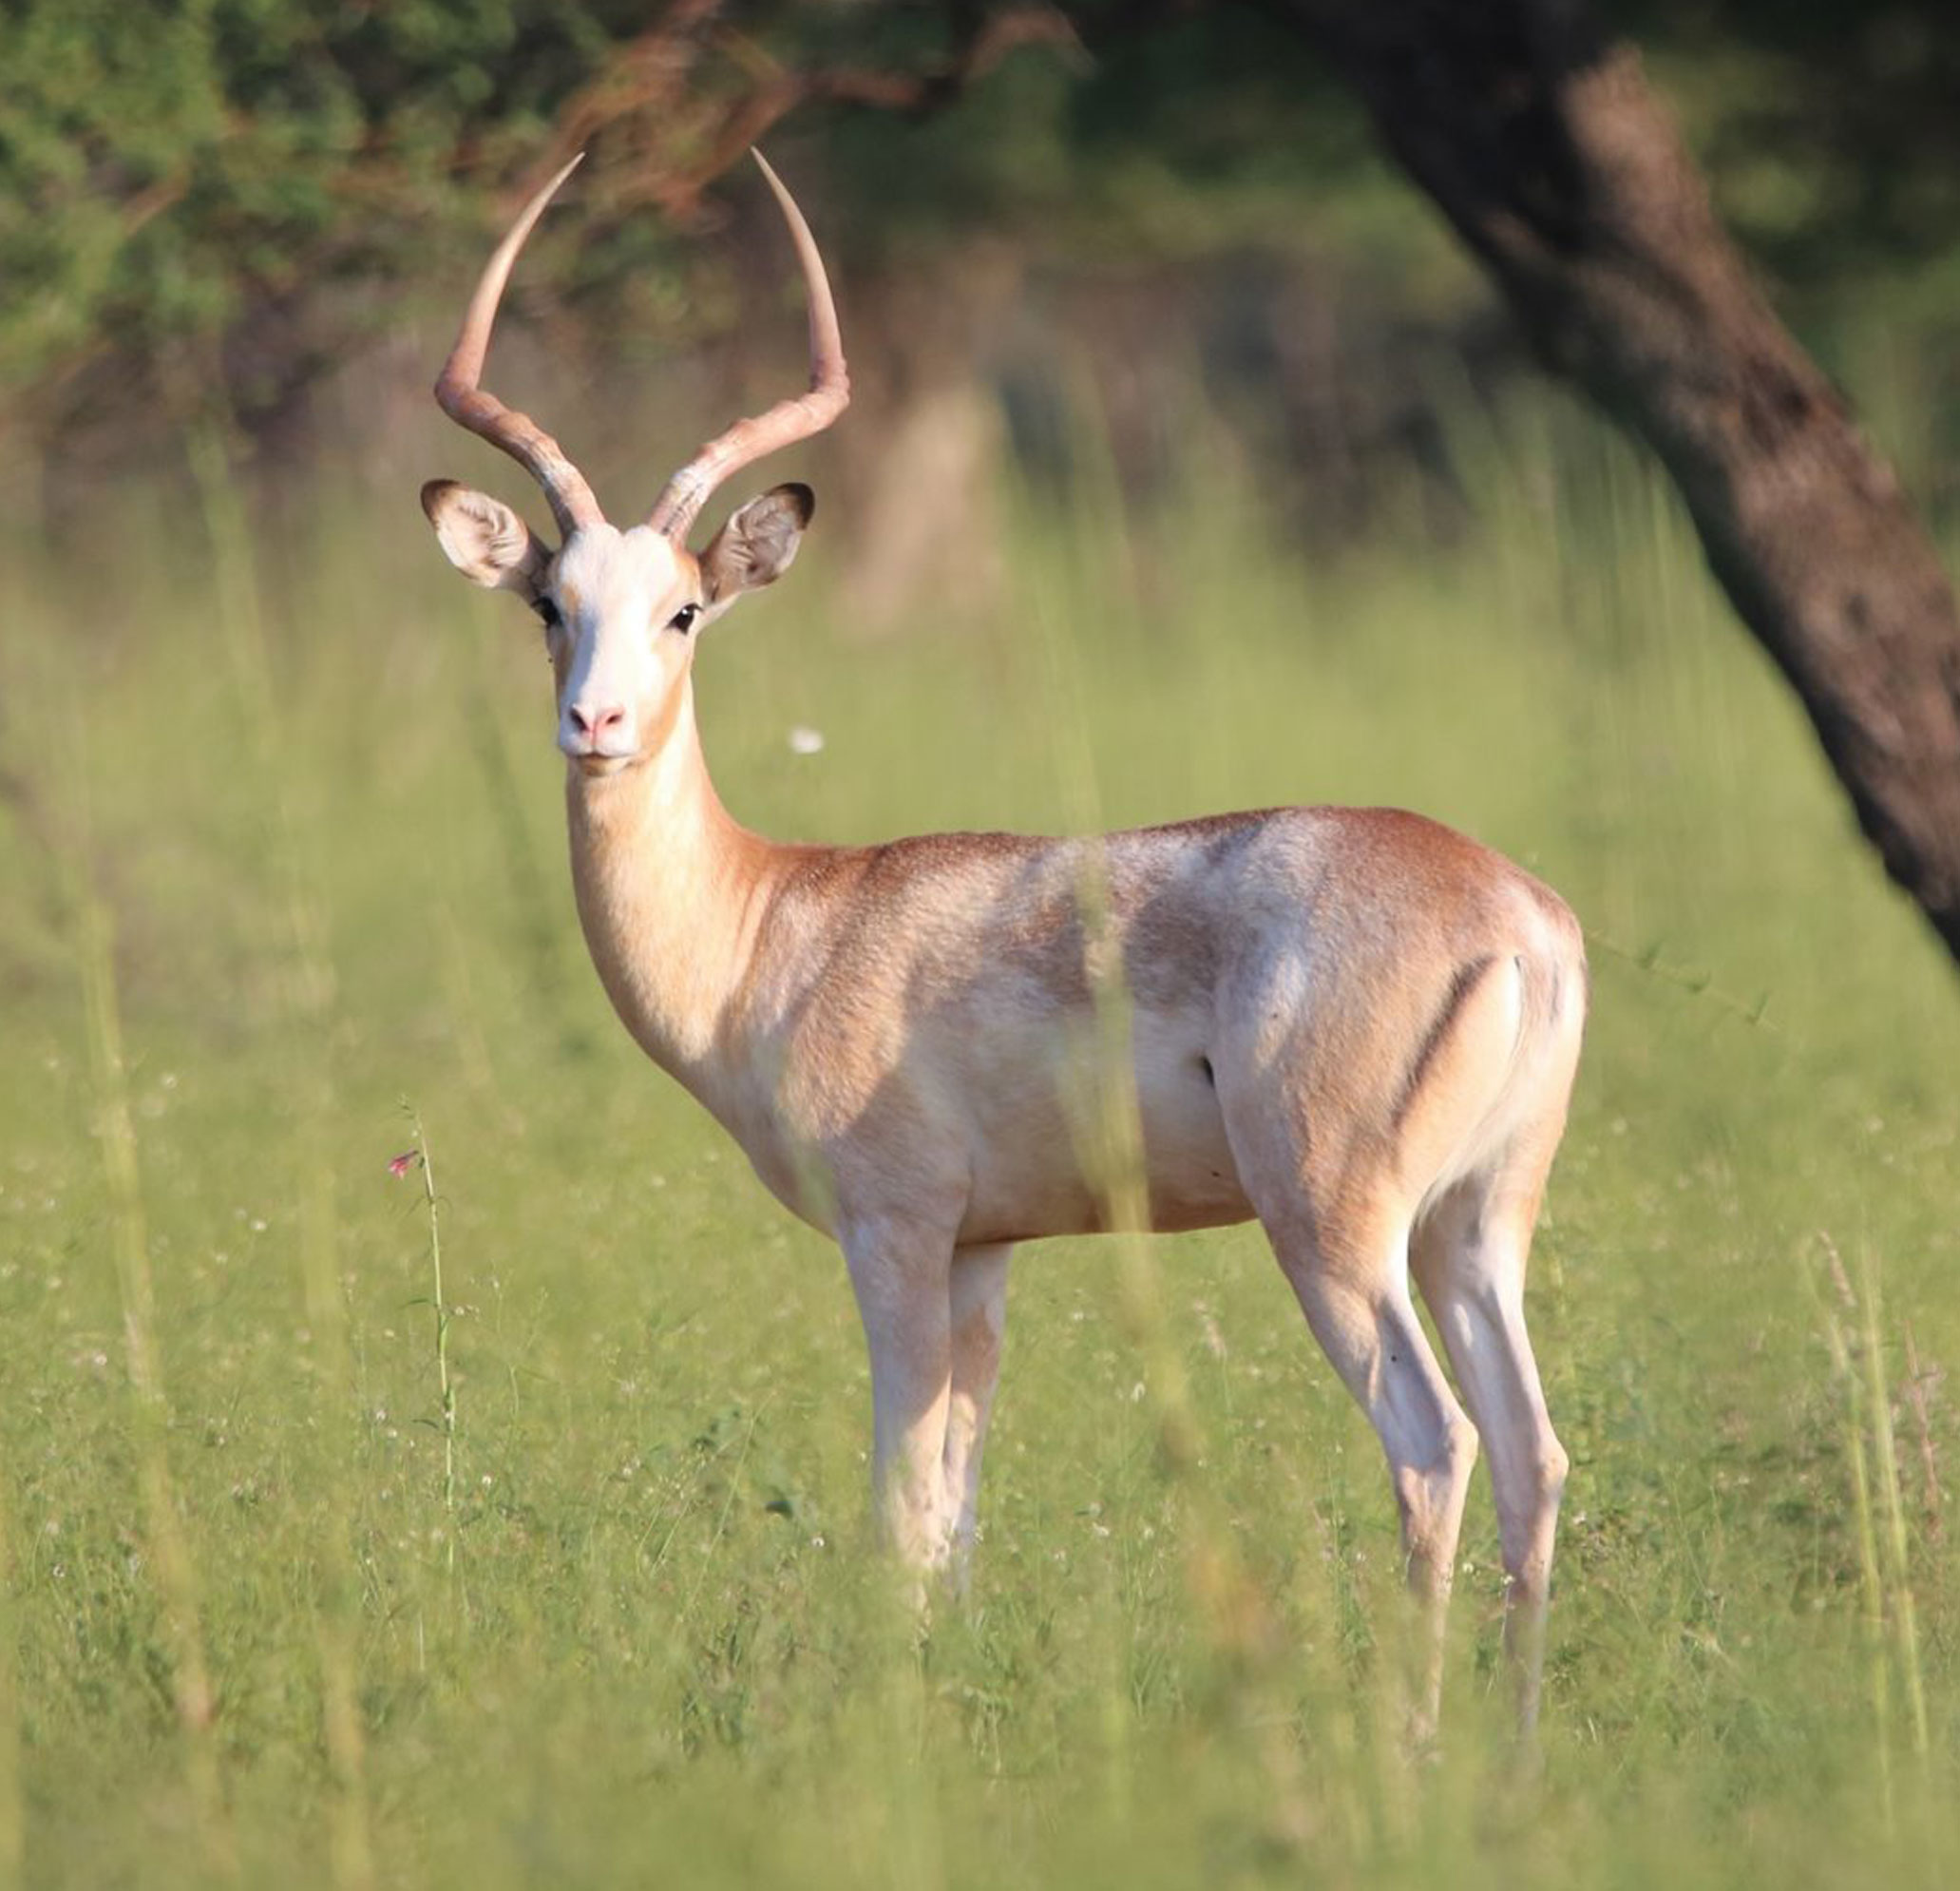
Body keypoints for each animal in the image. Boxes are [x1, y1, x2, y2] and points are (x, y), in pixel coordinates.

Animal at [420, 151, 1586, 1735]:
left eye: (684, 608)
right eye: (551, 602)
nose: (591, 724)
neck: (777, 918)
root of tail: (1509, 914)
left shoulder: (895, 1235)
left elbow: (899, 1506)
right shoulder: (987, 1252)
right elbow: (960, 1512)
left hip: (1337, 1228)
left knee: (1432, 1441)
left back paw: (1408, 1741)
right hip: (1478, 1222)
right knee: (1531, 1451)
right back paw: (1514, 1751)